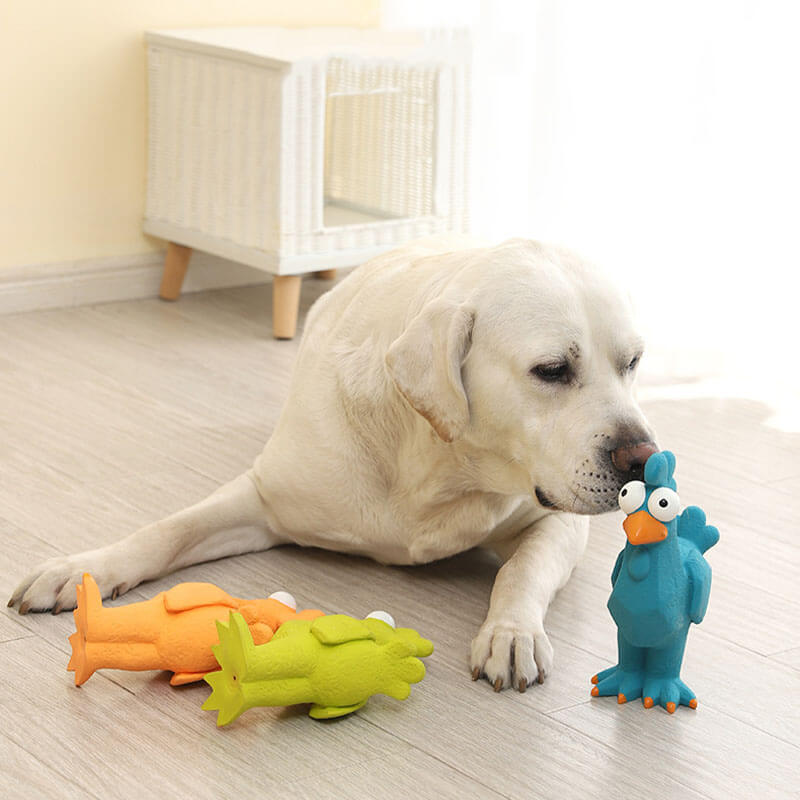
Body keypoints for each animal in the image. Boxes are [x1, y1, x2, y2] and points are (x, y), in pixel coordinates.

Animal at [9, 238, 652, 692]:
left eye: (633, 363)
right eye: (552, 370)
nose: (644, 460)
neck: (435, 457)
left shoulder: (555, 519)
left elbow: (520, 571)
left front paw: (511, 634)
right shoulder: (264, 499)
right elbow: (168, 529)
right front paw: (81, 569)